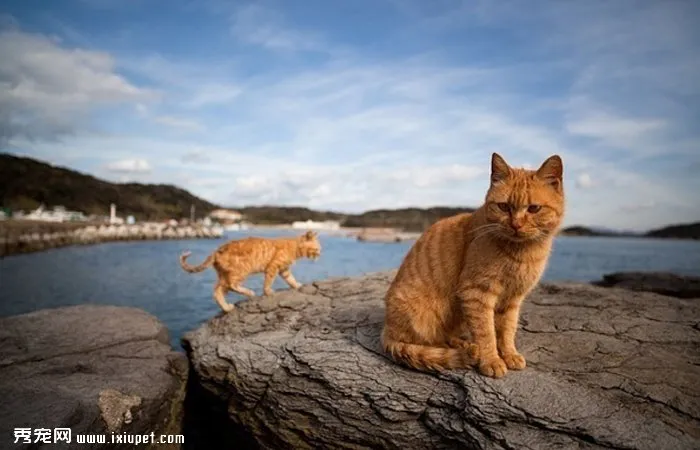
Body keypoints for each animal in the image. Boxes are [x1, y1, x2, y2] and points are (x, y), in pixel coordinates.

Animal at [180, 230, 322, 312]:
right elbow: (268, 282)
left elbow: (291, 279)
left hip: (224, 276)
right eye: (317, 249)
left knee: (217, 292)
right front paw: (268, 292)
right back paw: (249, 292)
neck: (294, 246)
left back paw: (226, 308)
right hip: (240, 272)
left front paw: (297, 285)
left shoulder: (284, 270)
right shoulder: (273, 267)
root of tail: (217, 250)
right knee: (232, 285)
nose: (320, 255)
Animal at [380, 153, 568, 378]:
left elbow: (507, 330)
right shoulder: (476, 293)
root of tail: (387, 330)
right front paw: (492, 360)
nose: (516, 225)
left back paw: (463, 344)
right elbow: (486, 332)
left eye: (534, 209)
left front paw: (509, 354)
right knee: (430, 343)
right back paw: (466, 349)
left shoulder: (513, 299)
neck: (521, 253)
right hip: (425, 315)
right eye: (504, 206)